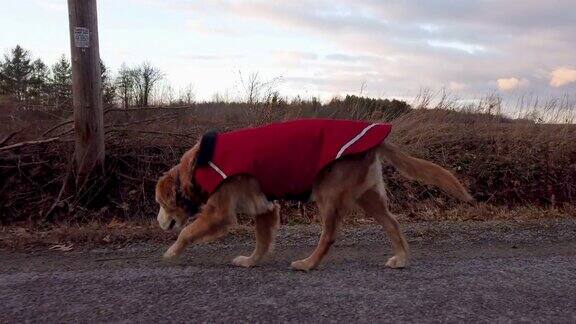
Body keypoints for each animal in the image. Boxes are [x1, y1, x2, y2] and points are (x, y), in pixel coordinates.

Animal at [154, 119, 472, 270]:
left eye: (160, 204)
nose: (159, 222)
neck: (197, 165)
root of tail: (378, 138)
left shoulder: (219, 210)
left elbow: (187, 232)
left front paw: (170, 253)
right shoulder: (265, 207)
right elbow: (262, 241)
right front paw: (251, 261)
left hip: (329, 194)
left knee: (329, 236)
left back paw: (308, 264)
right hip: (368, 197)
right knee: (393, 224)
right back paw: (401, 259)